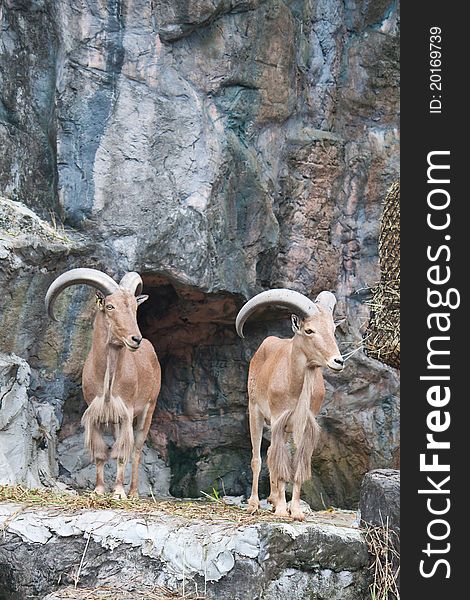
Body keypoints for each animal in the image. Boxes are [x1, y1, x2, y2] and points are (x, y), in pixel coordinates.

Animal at [45, 268, 162, 496]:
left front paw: (118, 492)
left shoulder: (125, 412)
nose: (135, 339)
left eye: (135, 307)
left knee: (136, 448)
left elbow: (121, 453)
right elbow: (100, 453)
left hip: (148, 409)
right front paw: (99, 490)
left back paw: (133, 492)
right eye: (110, 306)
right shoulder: (96, 411)